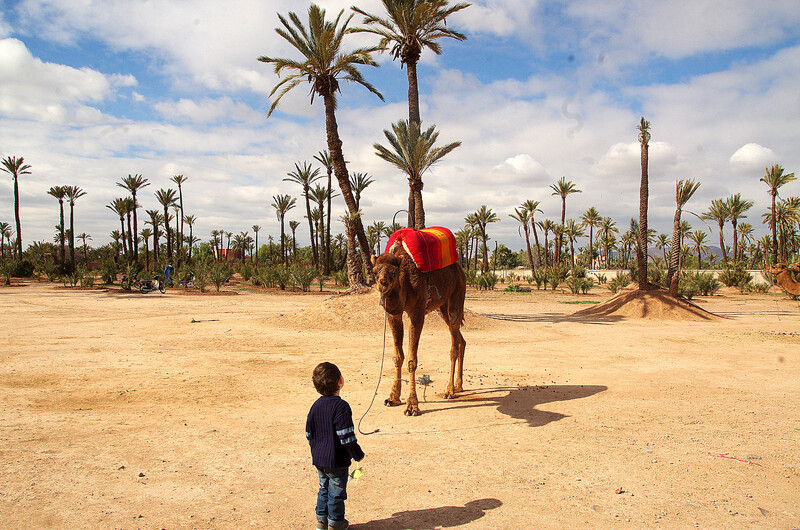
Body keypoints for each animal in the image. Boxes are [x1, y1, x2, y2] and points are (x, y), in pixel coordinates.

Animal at [370, 241, 466, 414]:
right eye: (374, 272)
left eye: (394, 272)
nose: (382, 283)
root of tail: (461, 271)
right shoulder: (394, 314)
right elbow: (397, 356)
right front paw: (393, 398)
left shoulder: (417, 312)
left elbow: (411, 360)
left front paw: (412, 405)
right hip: (442, 308)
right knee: (461, 340)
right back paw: (458, 386)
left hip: (458, 293)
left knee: (454, 344)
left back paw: (449, 390)